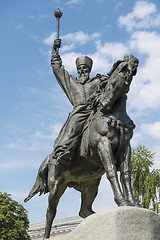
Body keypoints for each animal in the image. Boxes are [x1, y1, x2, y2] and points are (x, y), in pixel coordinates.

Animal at [24, 54, 139, 240]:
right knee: (50, 212)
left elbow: (126, 175)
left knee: (84, 211)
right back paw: (47, 235)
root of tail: (49, 158)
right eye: (112, 81)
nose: (104, 105)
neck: (115, 116)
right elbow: (112, 172)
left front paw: (133, 203)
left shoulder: (125, 149)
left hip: (91, 185)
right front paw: (122, 201)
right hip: (56, 186)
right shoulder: (103, 144)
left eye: (121, 80)